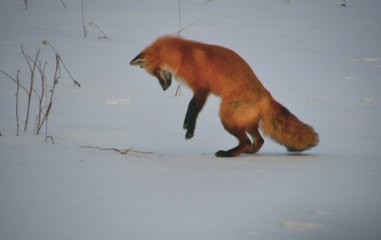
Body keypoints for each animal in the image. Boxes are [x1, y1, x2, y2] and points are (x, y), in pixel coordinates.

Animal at [131, 35, 318, 156]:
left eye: (154, 73)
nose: (163, 89)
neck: (183, 55)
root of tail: (267, 96)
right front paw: (187, 125)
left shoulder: (201, 89)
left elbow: (192, 108)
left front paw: (189, 129)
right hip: (244, 122)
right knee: (259, 141)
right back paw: (247, 152)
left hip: (227, 118)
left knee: (247, 141)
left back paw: (227, 154)